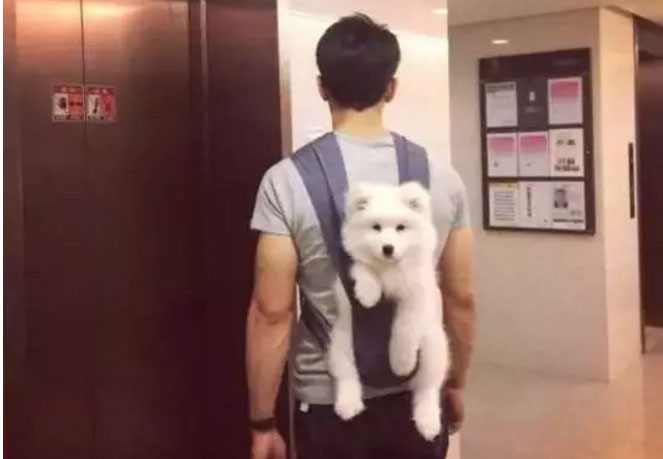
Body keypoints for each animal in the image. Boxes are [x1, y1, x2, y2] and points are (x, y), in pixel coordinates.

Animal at [328, 181, 450, 440]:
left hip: (434, 349)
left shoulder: (415, 297)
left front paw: (401, 363)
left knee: (427, 388)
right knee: (347, 375)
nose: (388, 248)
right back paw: (348, 405)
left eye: (401, 228)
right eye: (376, 227)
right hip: (341, 343)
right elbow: (363, 269)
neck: (390, 269)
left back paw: (427, 422)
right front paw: (368, 295)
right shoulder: (356, 270)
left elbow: (404, 329)